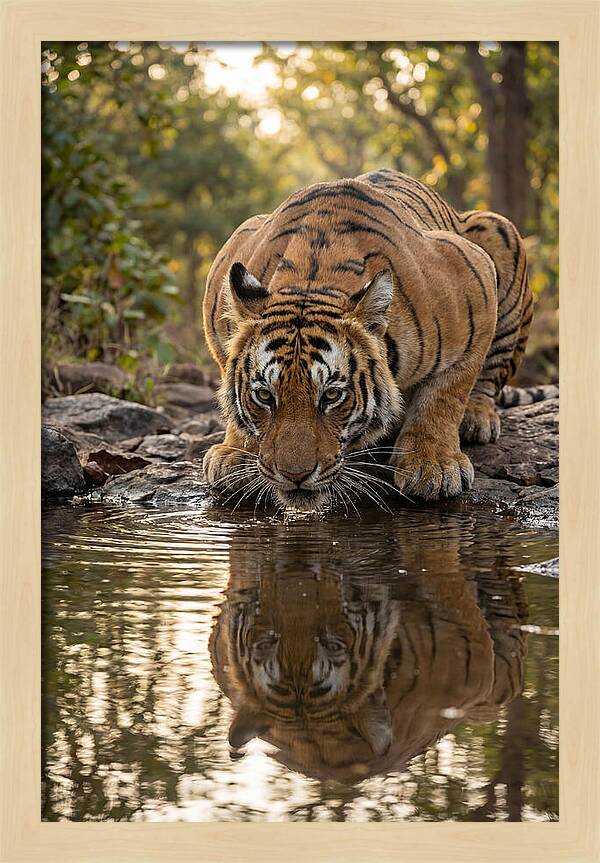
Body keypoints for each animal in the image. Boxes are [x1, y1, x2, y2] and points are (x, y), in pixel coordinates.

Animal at [202, 168, 533, 508]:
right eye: (265, 396)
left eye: (332, 395)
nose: (295, 475)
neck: (312, 279)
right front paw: (234, 453)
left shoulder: (475, 280)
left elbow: (445, 393)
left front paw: (433, 465)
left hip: (499, 230)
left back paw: (476, 419)